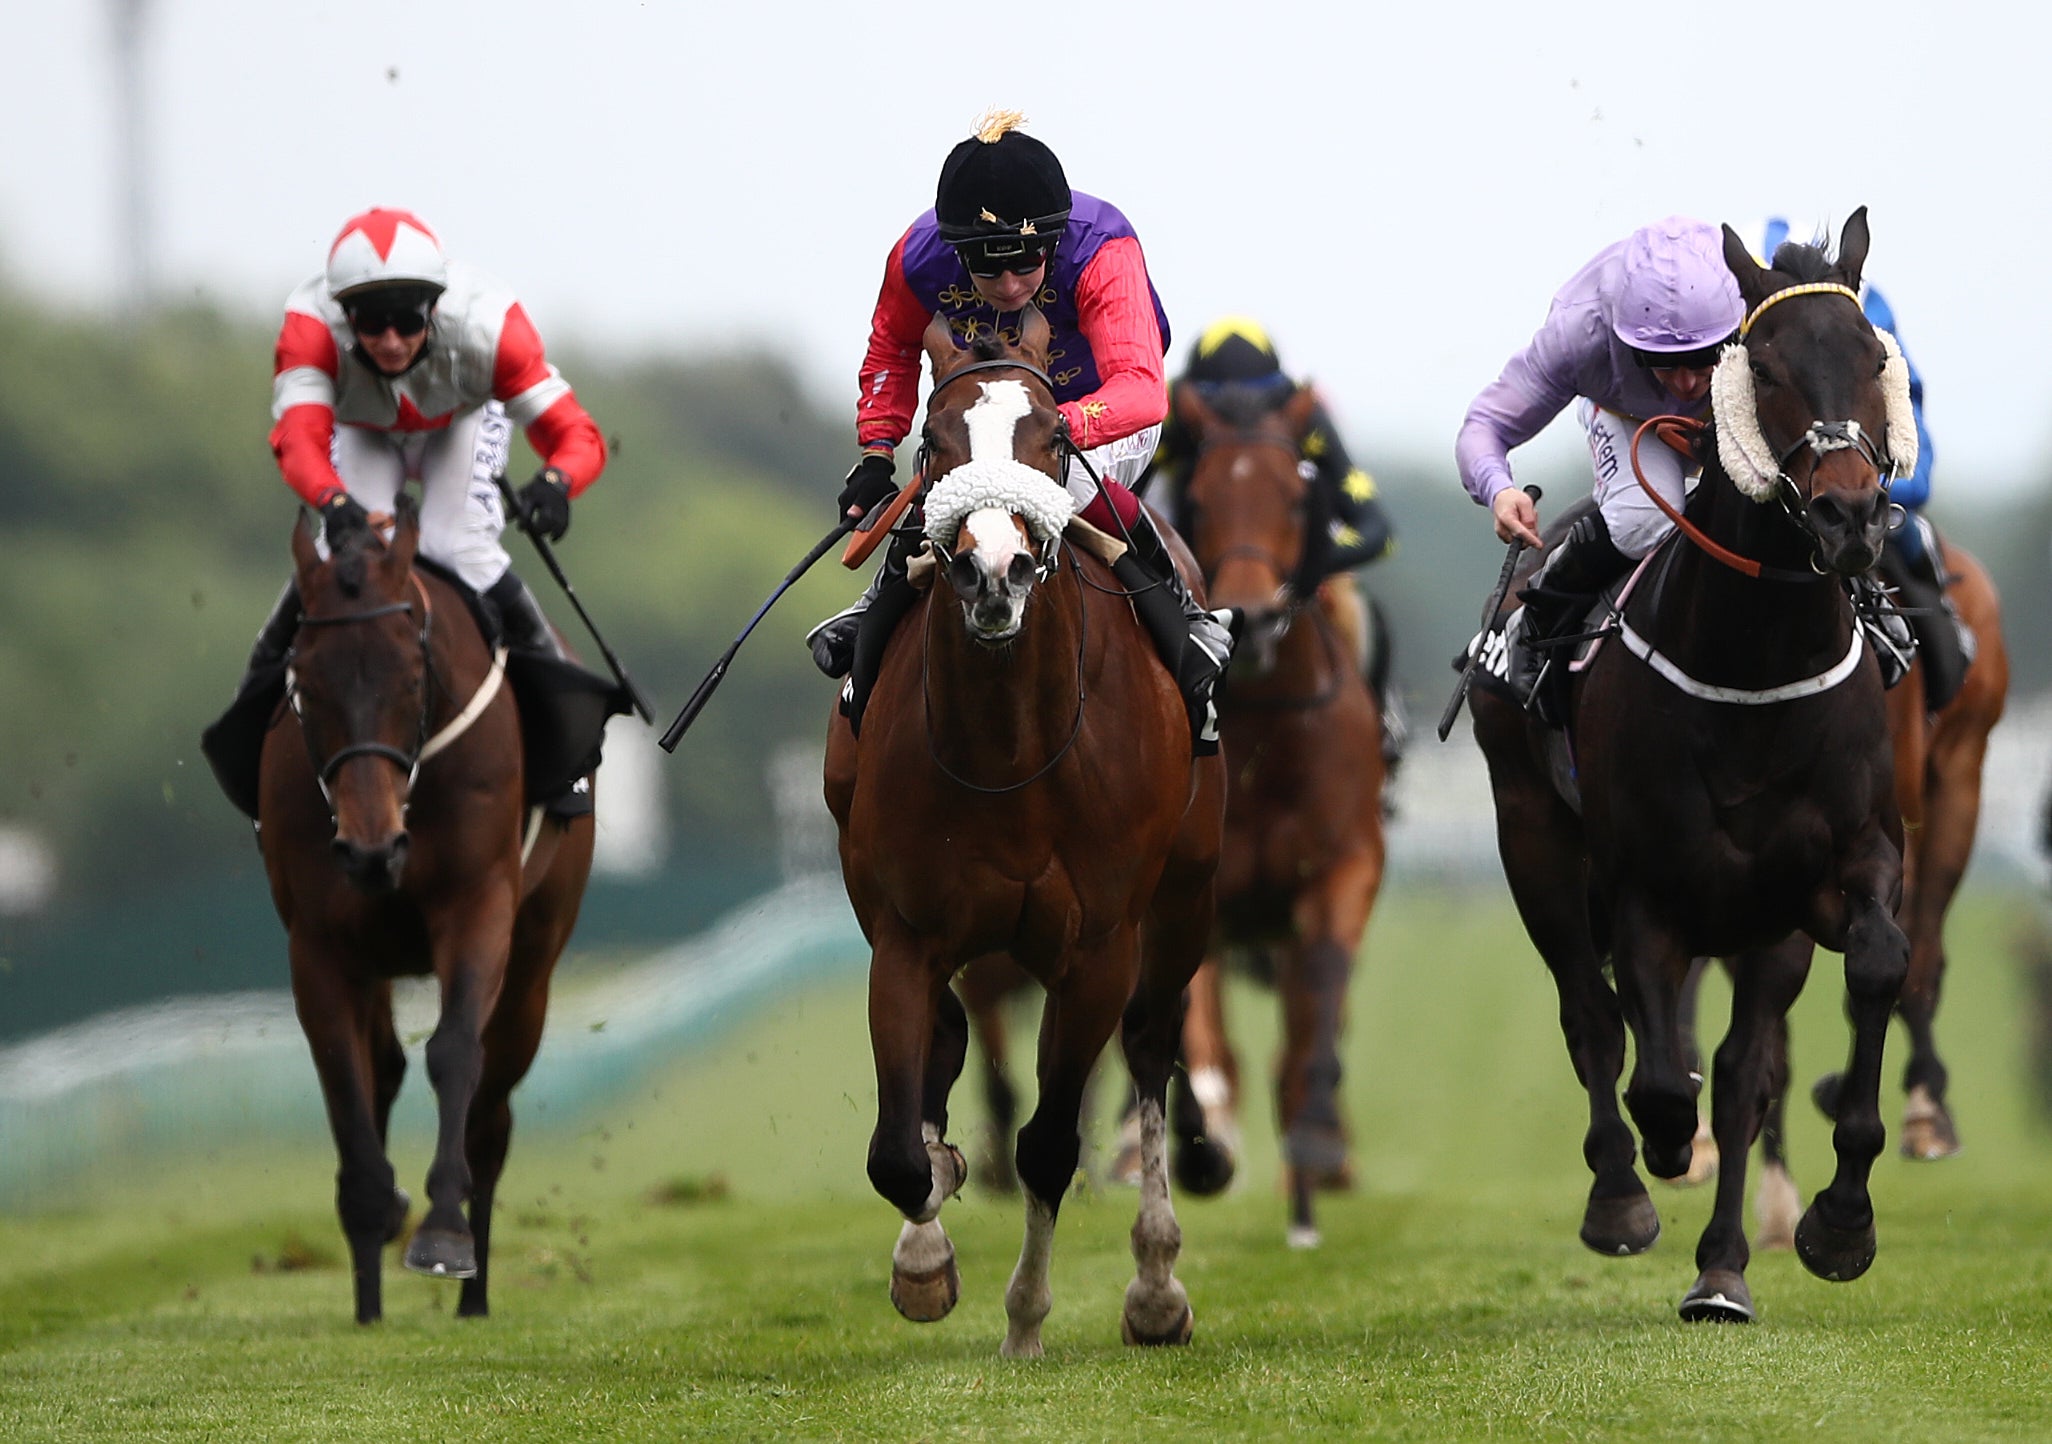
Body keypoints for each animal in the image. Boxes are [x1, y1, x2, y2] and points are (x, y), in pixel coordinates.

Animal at [258, 502, 595, 1329]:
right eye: (305, 677)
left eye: (413, 676)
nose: (372, 851)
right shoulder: (319, 942)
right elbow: (344, 1074)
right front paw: (377, 1219)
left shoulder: (478, 907)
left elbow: (455, 1053)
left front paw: (442, 1233)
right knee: (381, 1069)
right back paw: (371, 1289)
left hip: (533, 965)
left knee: (491, 1111)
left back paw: (474, 1291)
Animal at [824, 313, 1222, 1353]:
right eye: (934, 442)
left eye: (1049, 438)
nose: (991, 572)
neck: (1010, 747)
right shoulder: (906, 932)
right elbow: (896, 1150)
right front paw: (925, 1257)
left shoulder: (1098, 949)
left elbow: (1052, 1143)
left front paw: (1027, 1318)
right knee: (952, 1043)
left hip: (1181, 904)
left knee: (1153, 1048)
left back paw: (1156, 1283)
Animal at [1469, 209, 1912, 1329]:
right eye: (1765, 363)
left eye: (1872, 355)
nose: (1849, 517)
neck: (1754, 665)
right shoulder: (1646, 886)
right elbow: (1655, 1069)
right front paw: (1659, 1156)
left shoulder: (1831, 872)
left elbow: (1864, 977)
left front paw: (1839, 1223)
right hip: (1534, 843)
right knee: (1593, 1018)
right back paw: (1625, 1189)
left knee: (1736, 1063)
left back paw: (1722, 1266)